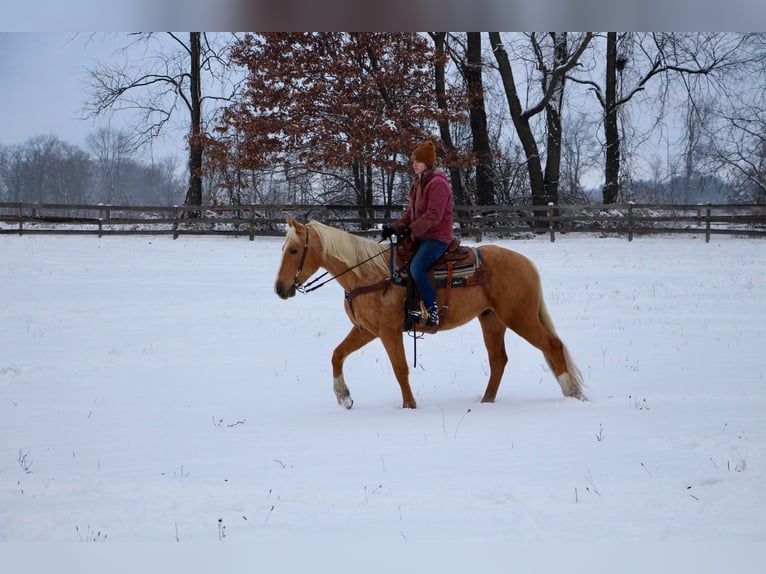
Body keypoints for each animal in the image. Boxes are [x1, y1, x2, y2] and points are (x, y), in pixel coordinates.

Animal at [278, 216, 588, 410]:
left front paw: (409, 406)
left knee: (552, 346)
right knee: (499, 360)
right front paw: (344, 398)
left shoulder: (389, 332)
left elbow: (400, 368)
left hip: (519, 318)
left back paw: (572, 394)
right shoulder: (366, 330)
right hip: (492, 319)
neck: (369, 275)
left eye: (293, 250)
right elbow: (337, 355)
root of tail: (527, 263)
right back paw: (486, 401)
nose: (280, 289)